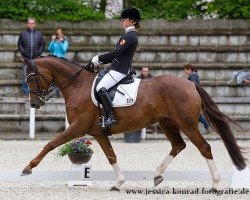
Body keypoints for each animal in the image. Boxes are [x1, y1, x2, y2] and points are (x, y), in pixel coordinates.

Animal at [21, 55, 246, 191]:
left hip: (186, 123)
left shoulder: (78, 127)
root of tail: (191, 84)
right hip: (167, 123)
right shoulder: (98, 133)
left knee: (204, 147)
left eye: (32, 78)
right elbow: (111, 156)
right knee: (178, 145)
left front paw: (28, 168)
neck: (78, 86)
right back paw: (157, 174)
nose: (34, 104)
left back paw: (215, 184)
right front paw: (118, 183)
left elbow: (50, 144)